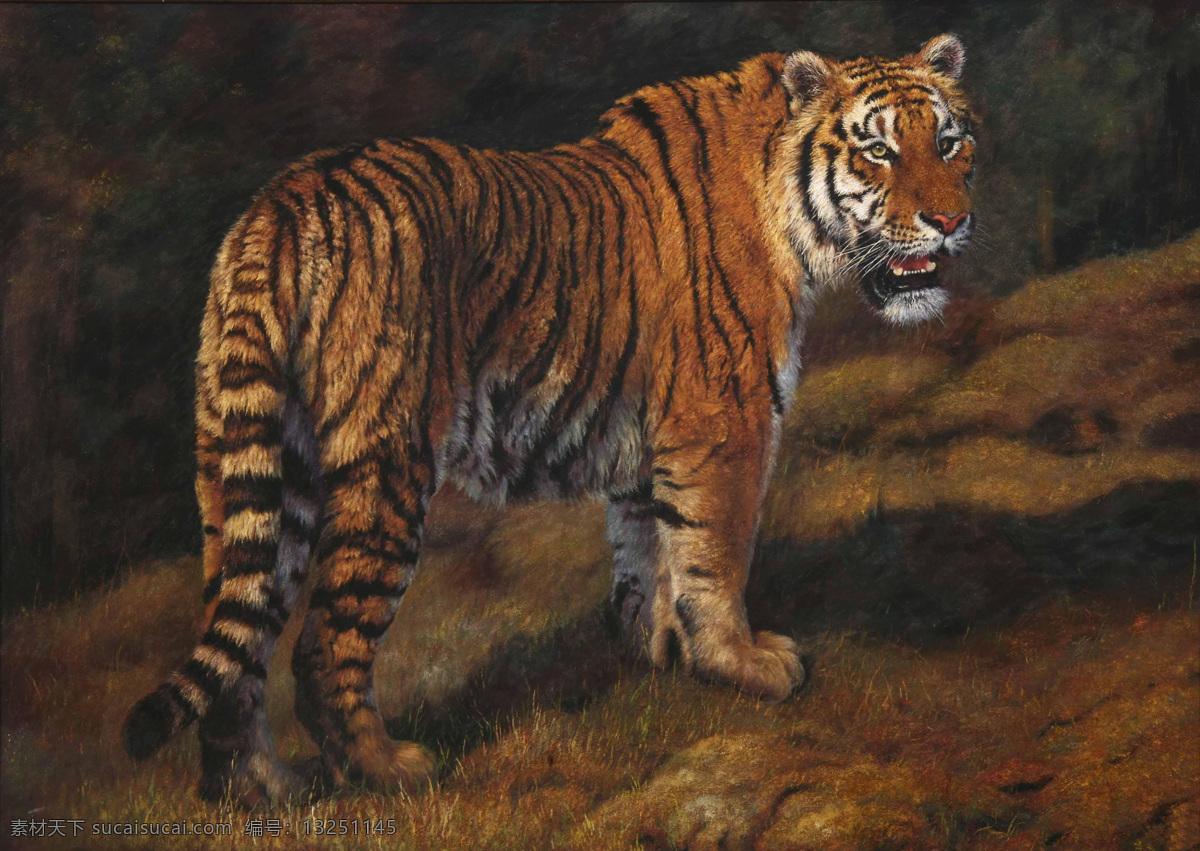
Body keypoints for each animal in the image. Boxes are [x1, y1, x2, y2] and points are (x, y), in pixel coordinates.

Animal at [123, 34, 976, 804]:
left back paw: (259, 790)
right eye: (878, 151)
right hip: (384, 466)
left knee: (239, 642)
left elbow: (648, 553)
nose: (948, 220)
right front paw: (744, 663)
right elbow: (714, 555)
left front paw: (657, 653)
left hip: (252, 467)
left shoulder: (650, 443)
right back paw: (389, 769)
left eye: (948, 141)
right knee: (322, 646)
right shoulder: (724, 423)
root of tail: (280, 203)